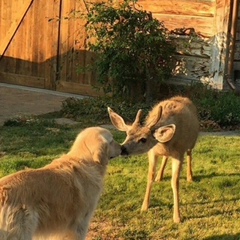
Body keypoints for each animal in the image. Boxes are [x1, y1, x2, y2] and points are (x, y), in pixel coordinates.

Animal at [108, 95, 199, 223]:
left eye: (143, 139)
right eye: (127, 134)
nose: (123, 149)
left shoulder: (179, 153)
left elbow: (175, 182)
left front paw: (177, 217)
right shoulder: (152, 152)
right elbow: (150, 176)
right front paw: (144, 206)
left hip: (191, 142)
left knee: (189, 155)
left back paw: (190, 177)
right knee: (166, 157)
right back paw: (159, 177)